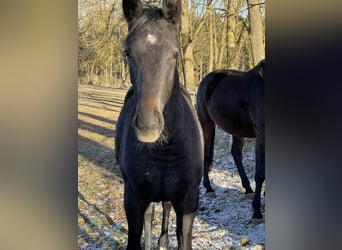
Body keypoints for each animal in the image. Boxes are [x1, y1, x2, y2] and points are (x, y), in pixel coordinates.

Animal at [116, 0, 204, 248]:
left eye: (174, 54)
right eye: (127, 53)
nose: (148, 126)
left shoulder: (189, 201)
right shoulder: (133, 198)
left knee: (165, 207)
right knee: (151, 214)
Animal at [196, 59, 266, 220]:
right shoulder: (261, 135)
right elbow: (260, 174)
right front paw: (256, 212)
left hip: (236, 129)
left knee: (236, 153)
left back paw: (248, 188)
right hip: (206, 123)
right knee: (206, 153)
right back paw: (209, 188)